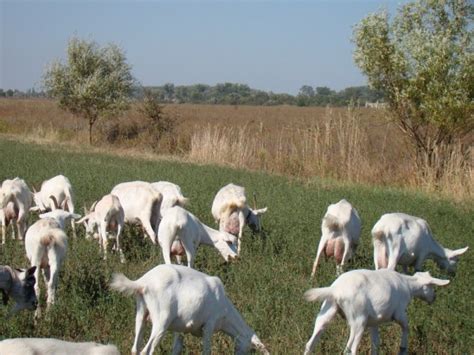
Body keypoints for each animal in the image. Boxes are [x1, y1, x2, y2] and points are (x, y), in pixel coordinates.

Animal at [109, 264, 268, 355]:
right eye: (250, 349)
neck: (226, 314)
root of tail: (143, 282)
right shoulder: (209, 324)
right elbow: (206, 351)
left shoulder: (180, 328)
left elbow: (177, 348)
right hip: (161, 320)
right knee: (145, 351)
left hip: (141, 312)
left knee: (135, 349)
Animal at [306, 270, 450, 355]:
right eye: (431, 286)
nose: (434, 298)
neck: (408, 285)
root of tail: (336, 289)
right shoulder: (399, 312)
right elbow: (406, 326)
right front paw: (403, 348)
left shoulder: (374, 322)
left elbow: (376, 343)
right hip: (358, 321)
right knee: (349, 349)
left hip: (327, 311)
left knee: (310, 344)